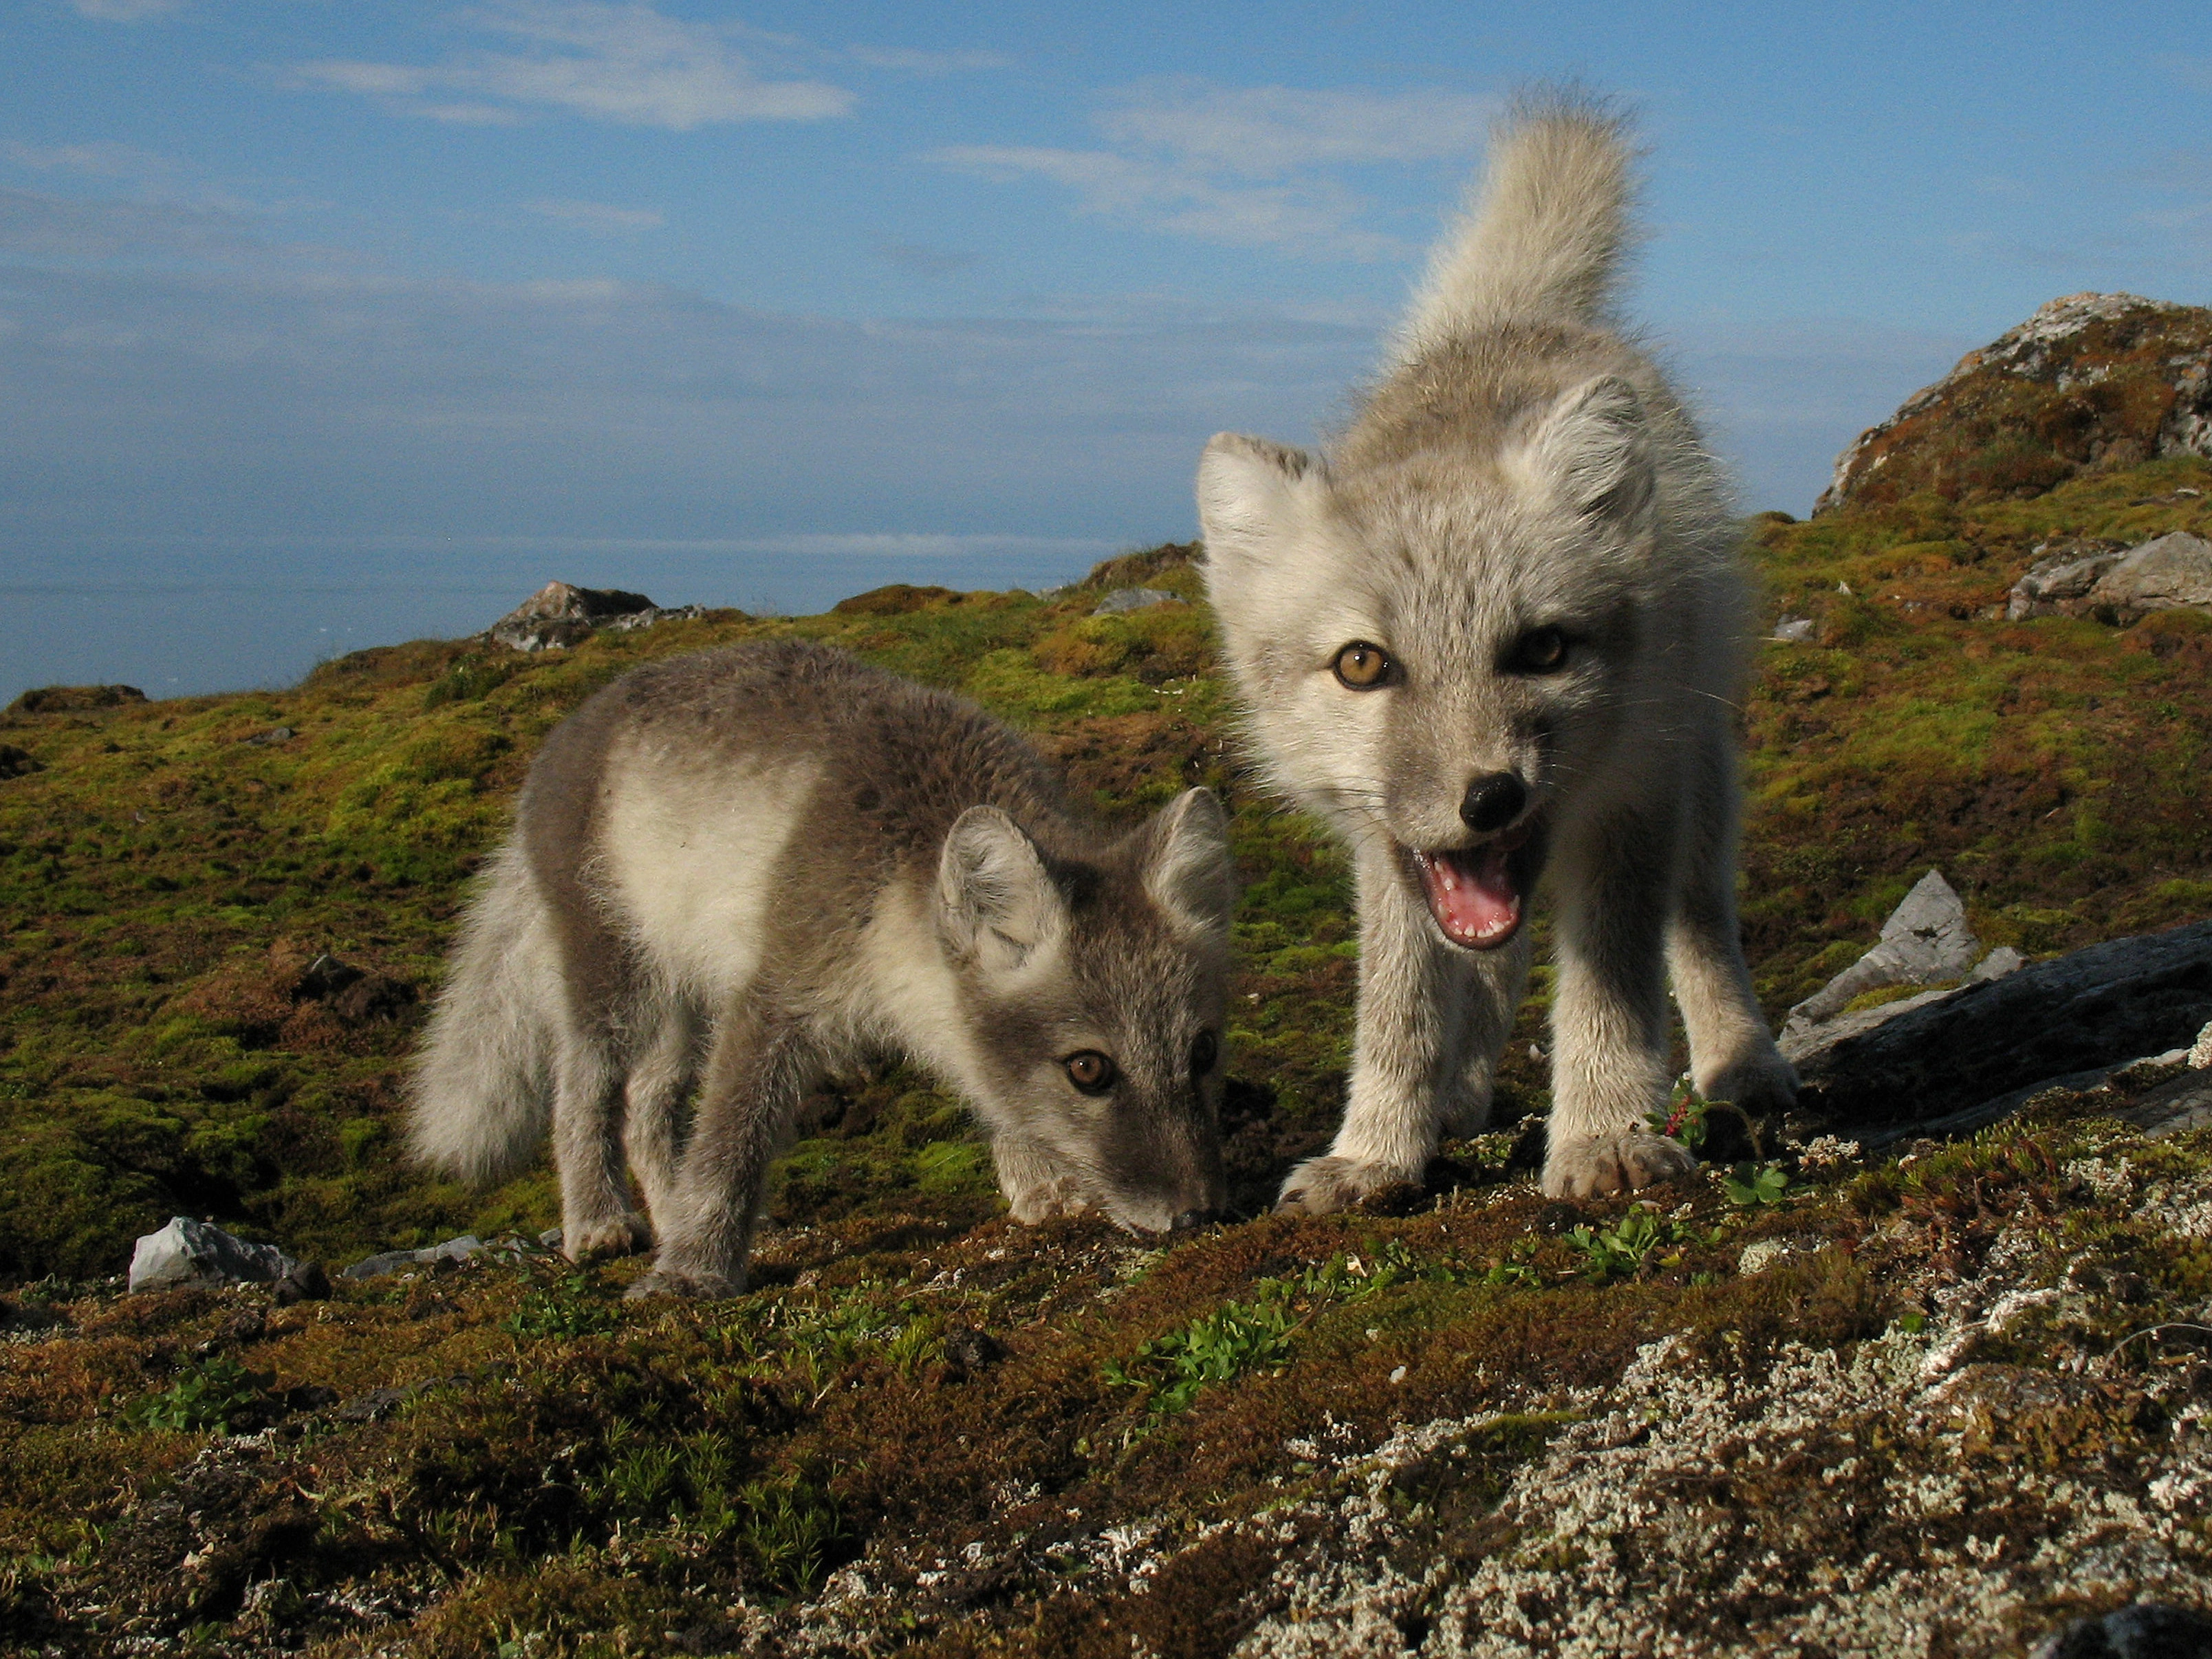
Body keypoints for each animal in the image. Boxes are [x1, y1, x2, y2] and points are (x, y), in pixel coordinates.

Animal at [409, 637, 1238, 1301]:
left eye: (1203, 1052)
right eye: (1090, 1070)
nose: (1201, 1216)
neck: (896, 877)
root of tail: (574, 722)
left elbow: (988, 1084)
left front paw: (1042, 1184)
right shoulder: (775, 994)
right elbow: (731, 1144)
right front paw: (693, 1274)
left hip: (688, 1001)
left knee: (646, 1107)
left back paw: (666, 1212)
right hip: (614, 973)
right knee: (581, 1089)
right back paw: (599, 1223)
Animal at [1194, 94, 1796, 1212]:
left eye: (1544, 647)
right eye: (1361, 664)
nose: (1490, 798)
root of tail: (1505, 322)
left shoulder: (1635, 802)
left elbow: (1611, 992)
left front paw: (1605, 1135)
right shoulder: (1386, 855)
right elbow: (1398, 1015)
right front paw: (1377, 1150)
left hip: (1700, 772)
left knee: (1700, 928)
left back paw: (1742, 1064)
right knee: (1489, 970)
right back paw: (1455, 1097)